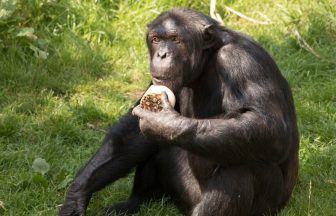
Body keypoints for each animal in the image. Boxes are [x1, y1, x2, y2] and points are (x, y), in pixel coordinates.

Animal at [60, 7, 300, 215]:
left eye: (175, 39)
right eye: (156, 39)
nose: (162, 54)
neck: (207, 60)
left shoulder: (243, 60)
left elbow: (268, 125)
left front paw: (164, 123)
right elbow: (132, 134)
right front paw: (77, 195)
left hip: (265, 208)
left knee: (241, 164)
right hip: (181, 192)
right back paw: (136, 202)